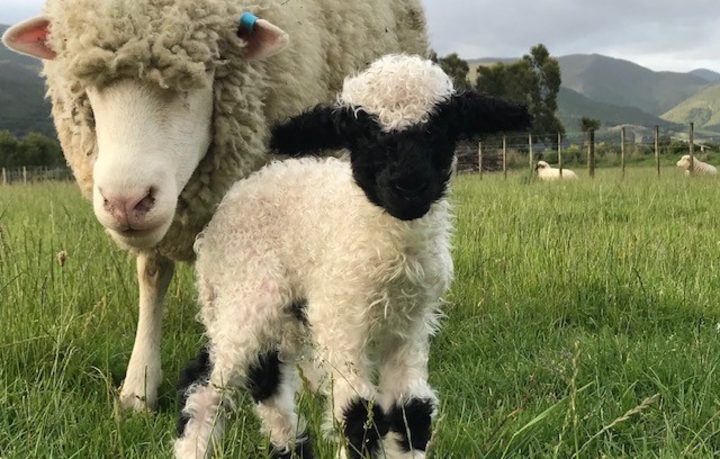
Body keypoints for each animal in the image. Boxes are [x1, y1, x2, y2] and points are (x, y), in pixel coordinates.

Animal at [2, 0, 430, 414]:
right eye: (91, 86)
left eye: (195, 81)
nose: (125, 201)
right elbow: (152, 277)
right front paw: (139, 386)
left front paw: (302, 376)